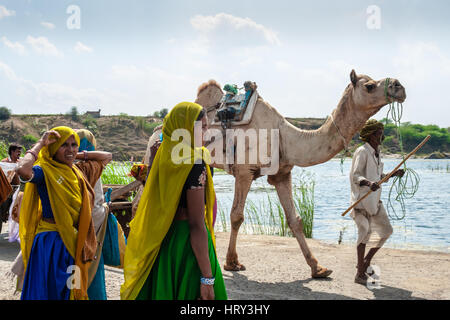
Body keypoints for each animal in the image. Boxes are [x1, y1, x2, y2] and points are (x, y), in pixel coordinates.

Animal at [135, 69, 406, 278]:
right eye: (369, 85)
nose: (399, 86)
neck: (284, 136)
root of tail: (158, 127)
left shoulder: (282, 174)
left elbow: (295, 220)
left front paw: (318, 268)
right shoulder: (244, 171)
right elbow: (237, 216)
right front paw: (232, 262)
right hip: (156, 157)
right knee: (143, 198)